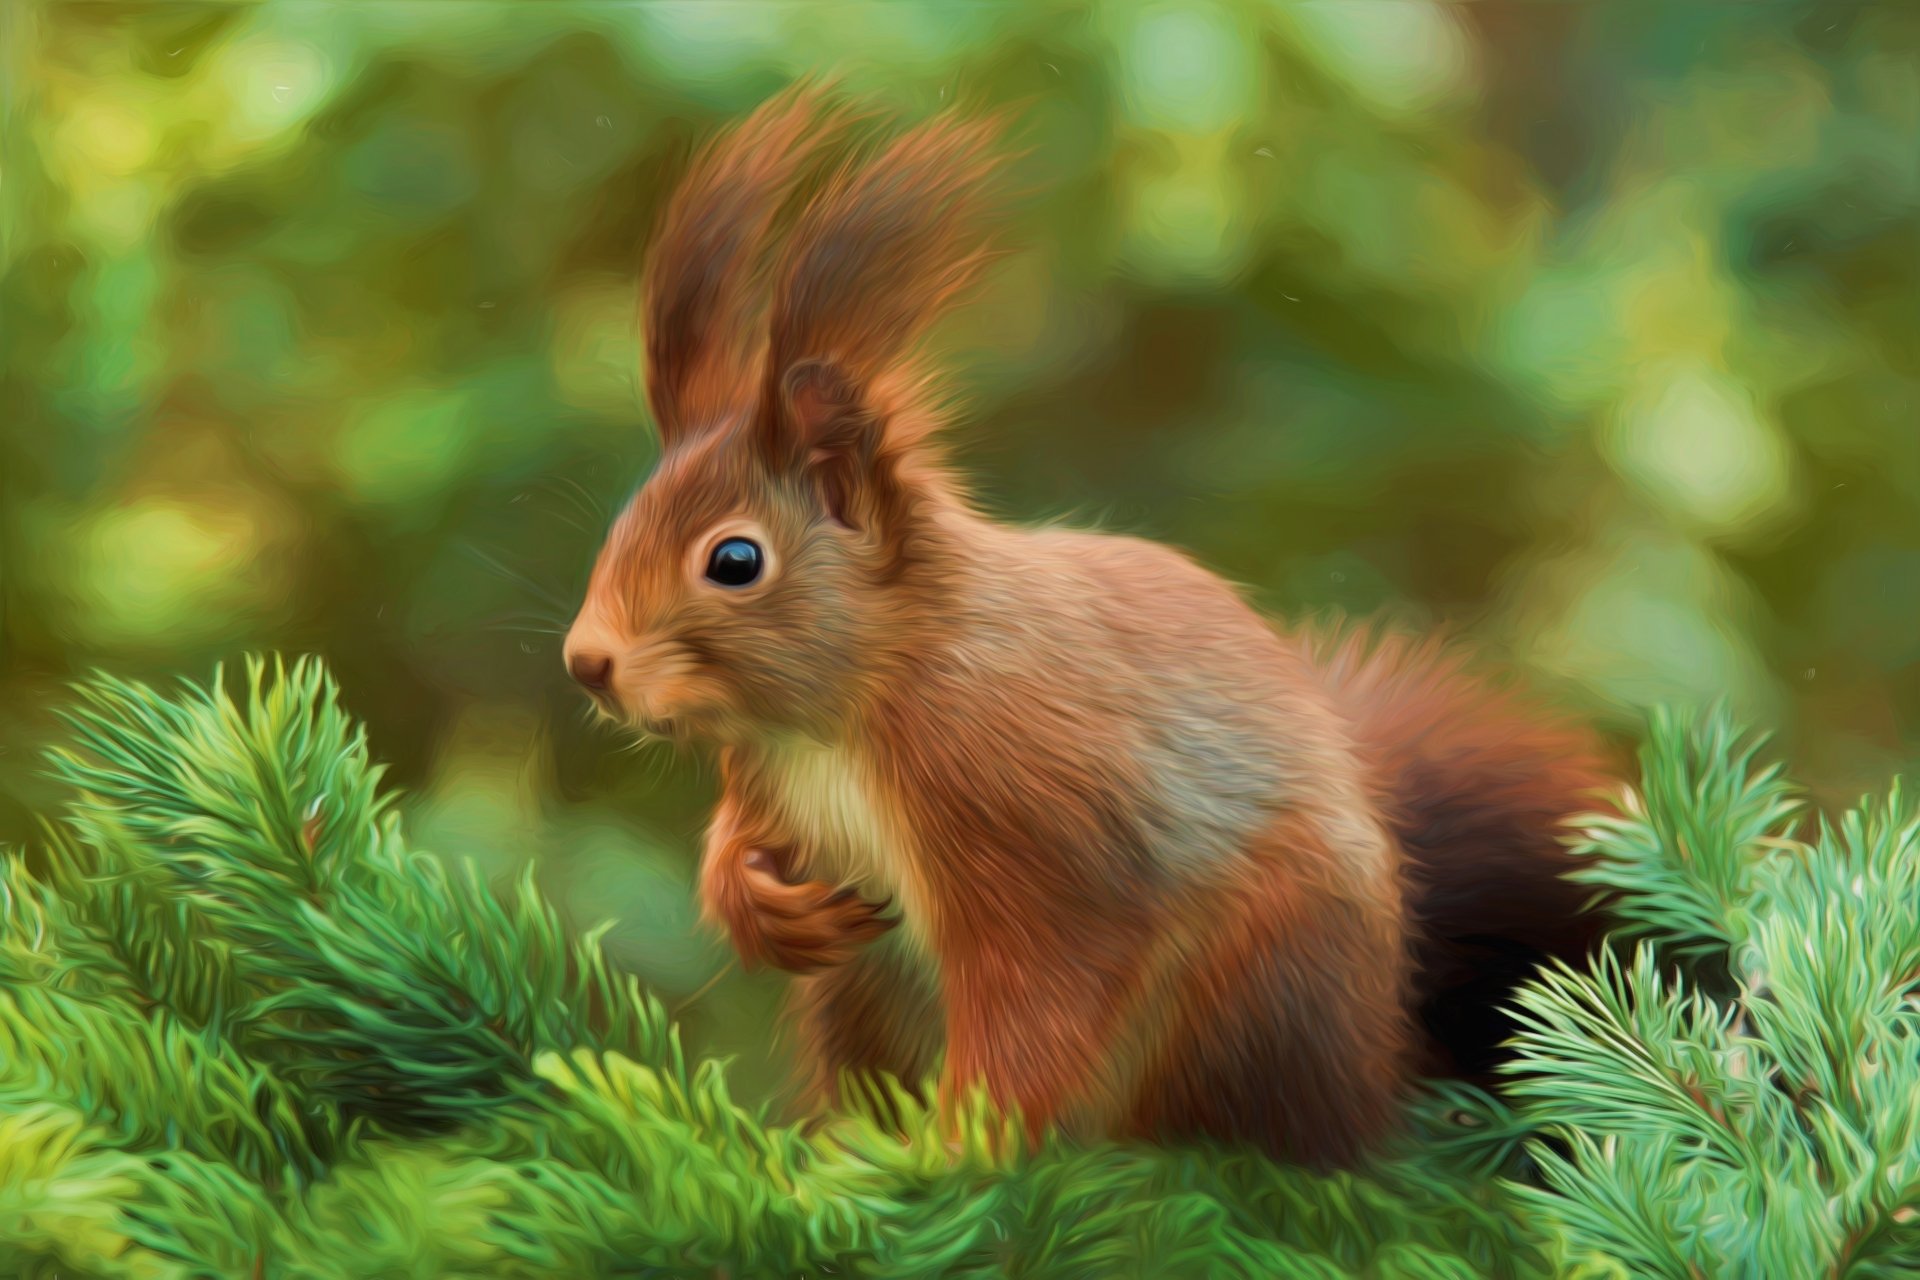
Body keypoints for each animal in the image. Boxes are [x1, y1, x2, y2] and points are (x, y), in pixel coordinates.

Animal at [562, 86, 1613, 1169]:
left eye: (735, 561)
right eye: (625, 521)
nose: (587, 662)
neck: (842, 716)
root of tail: (1378, 1060)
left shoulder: (1023, 808)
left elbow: (1042, 993)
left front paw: (957, 1154)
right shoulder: (768, 775)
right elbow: (738, 839)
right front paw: (760, 903)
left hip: (1260, 970)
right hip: (862, 991)